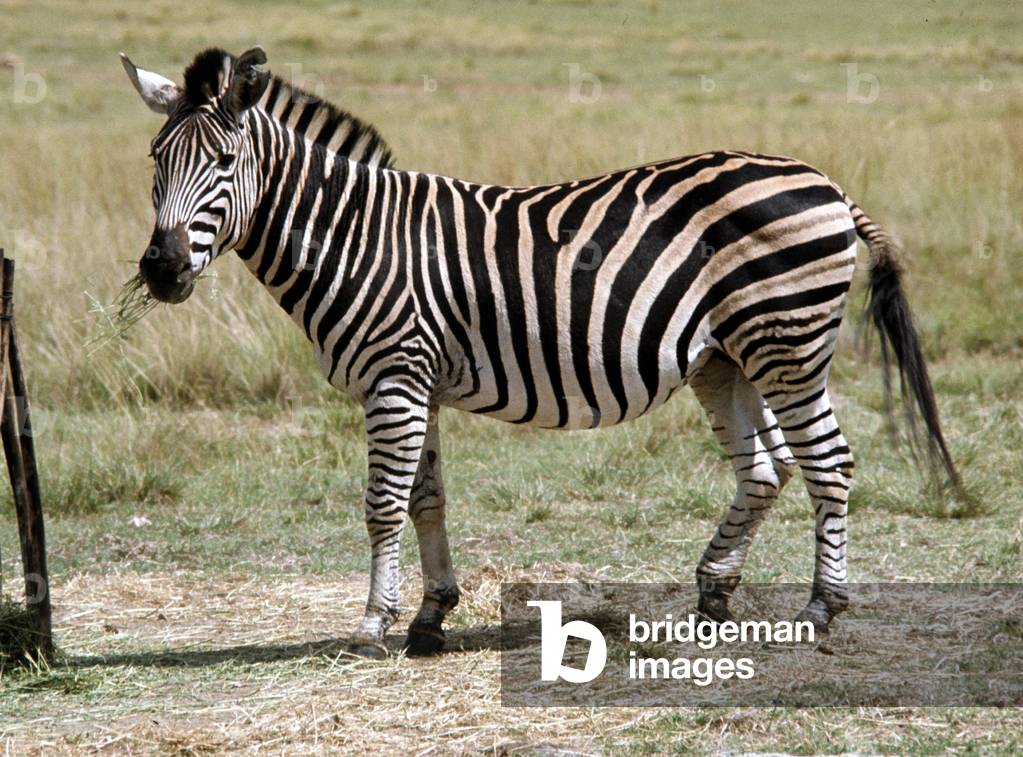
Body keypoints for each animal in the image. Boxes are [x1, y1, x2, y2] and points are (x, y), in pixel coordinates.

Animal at [121, 47, 960, 658]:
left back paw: (820, 608)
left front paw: (370, 625)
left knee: (829, 462)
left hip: (786, 342)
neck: (354, 239)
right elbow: (426, 499)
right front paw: (429, 615)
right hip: (725, 356)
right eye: (154, 162)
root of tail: (824, 181)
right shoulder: (416, 380)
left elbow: (382, 503)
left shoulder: (393, 375)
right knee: (765, 467)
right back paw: (713, 592)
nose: (160, 270)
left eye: (224, 164)